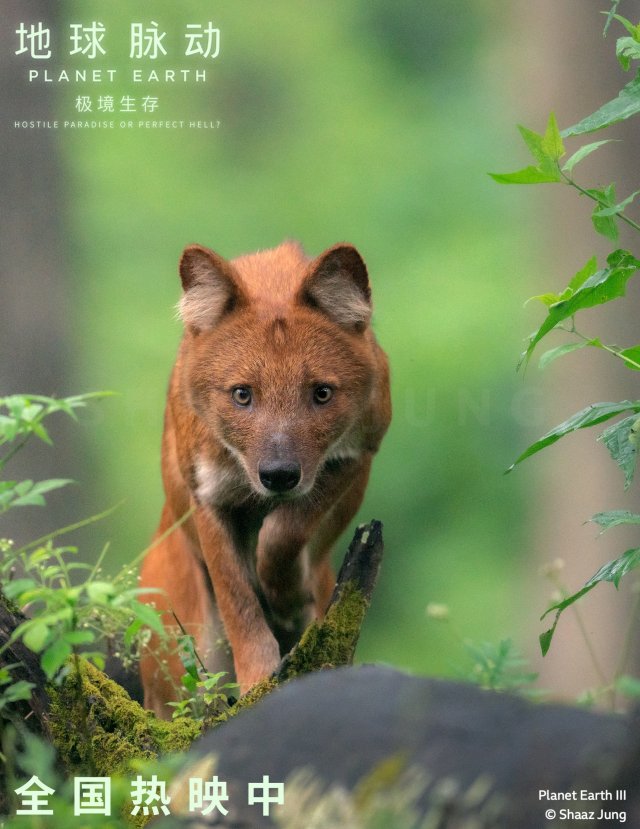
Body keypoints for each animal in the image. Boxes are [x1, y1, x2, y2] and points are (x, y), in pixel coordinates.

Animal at [139, 236, 390, 716]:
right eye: (242, 395)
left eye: (321, 393)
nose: (278, 475)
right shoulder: (208, 495)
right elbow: (239, 601)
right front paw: (258, 680)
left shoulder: (356, 455)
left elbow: (283, 531)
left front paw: (285, 596)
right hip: (176, 661)